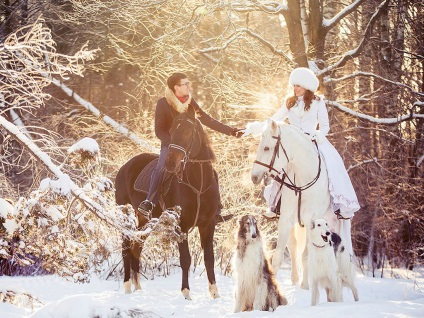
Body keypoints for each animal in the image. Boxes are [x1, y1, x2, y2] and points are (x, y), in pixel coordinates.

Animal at [116, 105, 222, 300]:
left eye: (188, 132)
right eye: (171, 131)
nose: (171, 163)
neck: (198, 183)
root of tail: (124, 167)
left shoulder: (208, 224)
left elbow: (209, 258)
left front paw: (215, 293)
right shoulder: (181, 225)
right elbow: (185, 259)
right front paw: (186, 293)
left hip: (145, 221)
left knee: (137, 247)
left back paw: (138, 287)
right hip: (125, 218)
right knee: (126, 248)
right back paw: (127, 287)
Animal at [250, 118, 336, 288]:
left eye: (267, 148)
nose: (254, 177)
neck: (303, 180)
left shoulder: (311, 221)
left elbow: (306, 255)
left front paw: (305, 286)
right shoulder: (285, 219)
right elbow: (278, 256)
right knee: (293, 246)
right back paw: (295, 279)